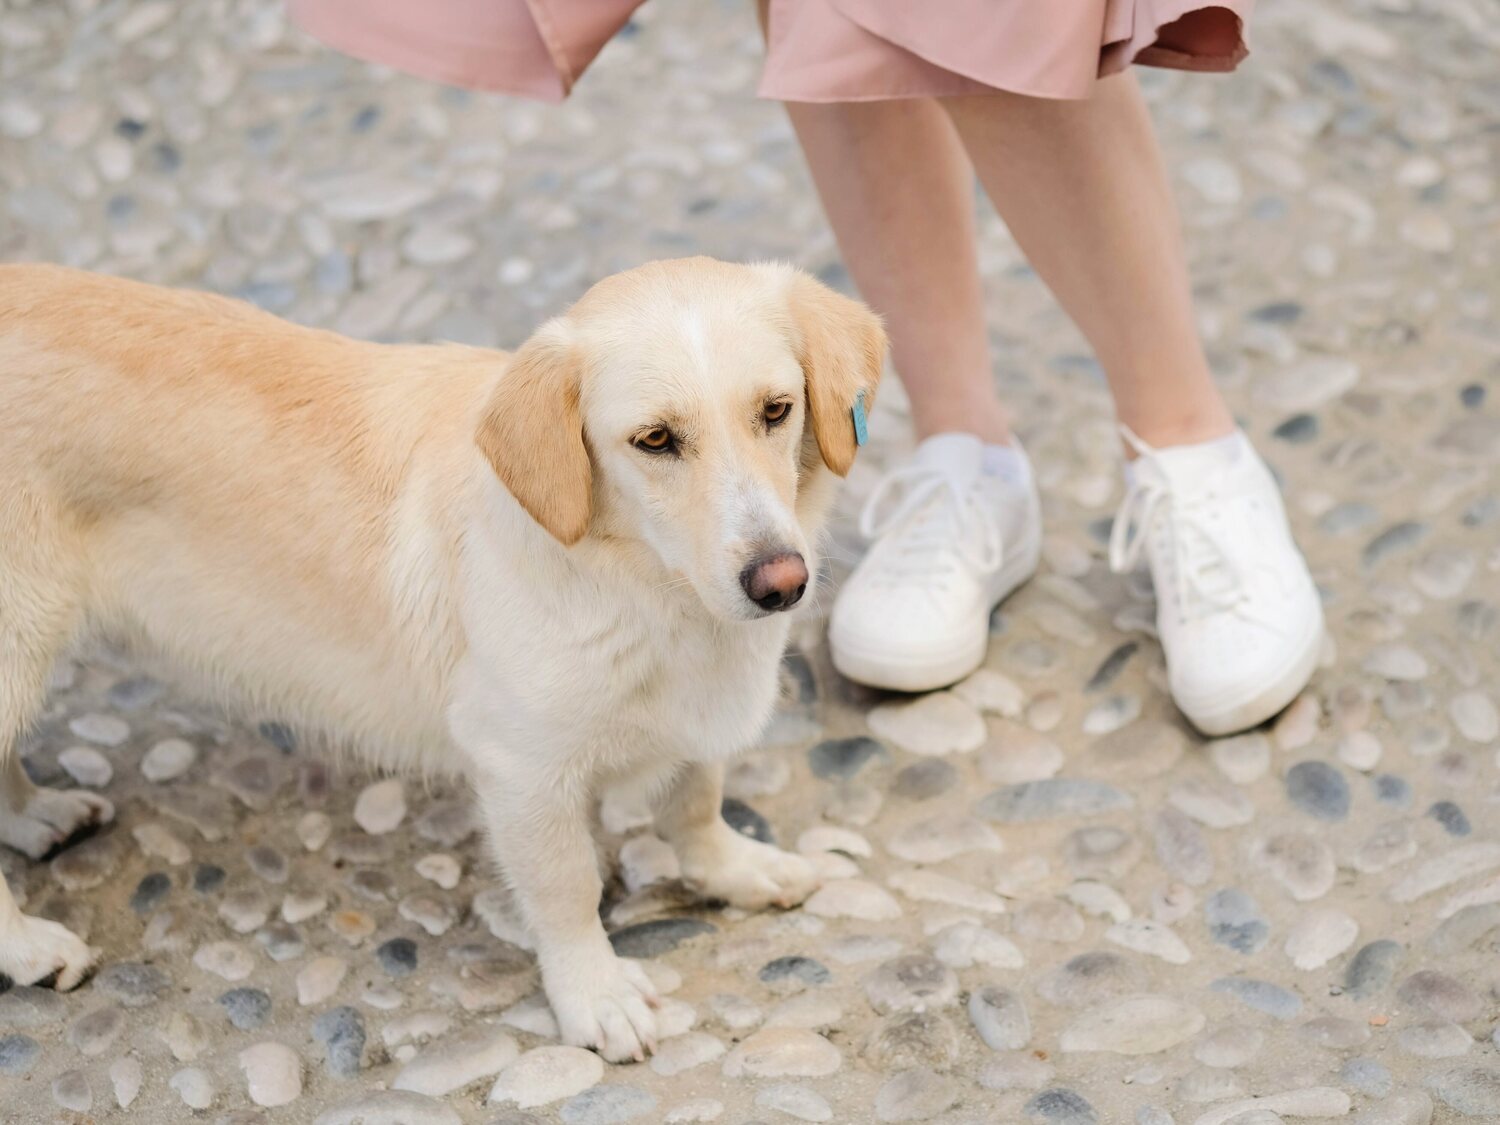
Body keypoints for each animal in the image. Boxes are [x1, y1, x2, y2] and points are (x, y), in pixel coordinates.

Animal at [0, 262, 876, 1068]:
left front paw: (734, 869)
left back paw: (35, 815)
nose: (781, 583)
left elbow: (696, 802)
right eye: (655, 439)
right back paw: (29, 944)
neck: (643, 584)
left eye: (776, 409)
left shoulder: (693, 717)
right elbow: (568, 890)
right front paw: (596, 996)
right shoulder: (523, 772)